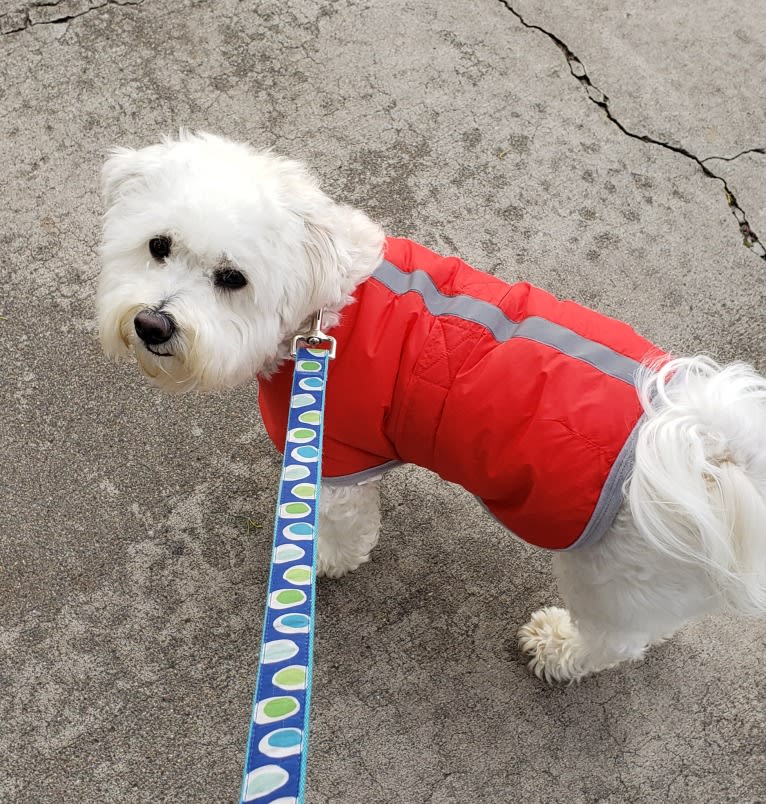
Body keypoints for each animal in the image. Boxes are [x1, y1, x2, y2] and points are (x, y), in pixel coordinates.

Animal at [97, 132, 766, 684]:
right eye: (158, 245)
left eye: (232, 278)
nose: (153, 324)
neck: (327, 308)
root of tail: (715, 443)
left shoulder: (336, 457)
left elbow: (338, 527)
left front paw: (317, 564)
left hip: (612, 569)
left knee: (616, 639)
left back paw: (558, 649)